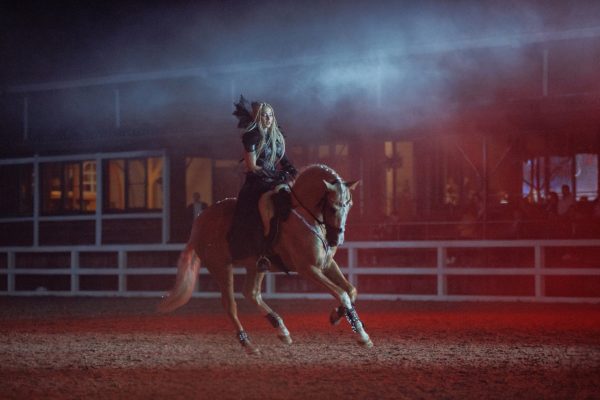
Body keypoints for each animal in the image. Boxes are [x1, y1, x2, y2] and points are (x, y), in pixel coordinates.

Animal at [158, 164, 372, 353]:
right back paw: (248, 344)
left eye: (349, 205)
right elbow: (341, 293)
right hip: (220, 267)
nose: (337, 239)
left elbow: (351, 291)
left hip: (255, 265)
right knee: (230, 304)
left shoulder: (326, 264)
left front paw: (338, 316)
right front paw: (361, 335)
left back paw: (282, 330)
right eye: (333, 207)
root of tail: (200, 220)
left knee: (251, 293)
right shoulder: (308, 268)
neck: (303, 214)